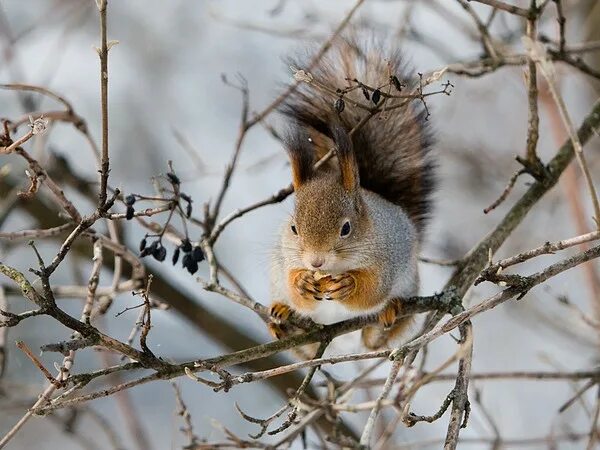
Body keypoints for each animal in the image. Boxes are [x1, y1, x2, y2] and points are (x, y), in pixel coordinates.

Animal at [270, 37, 434, 348]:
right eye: (294, 228)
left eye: (346, 228)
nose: (316, 261)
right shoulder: (285, 255)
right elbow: (295, 286)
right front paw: (302, 282)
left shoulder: (387, 257)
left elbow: (371, 291)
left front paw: (350, 284)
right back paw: (282, 320)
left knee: (376, 339)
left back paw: (388, 316)